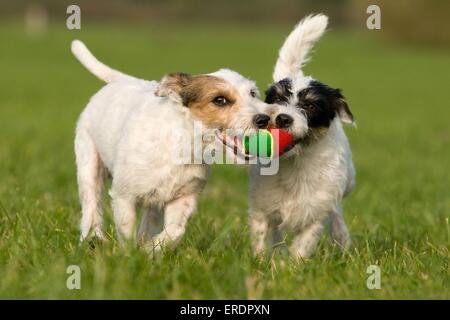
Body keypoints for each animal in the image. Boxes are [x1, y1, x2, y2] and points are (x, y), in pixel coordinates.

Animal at [72, 39, 270, 250]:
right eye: (220, 100)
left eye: (252, 93)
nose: (263, 119)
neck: (183, 146)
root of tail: (121, 82)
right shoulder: (124, 196)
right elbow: (126, 232)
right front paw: (129, 254)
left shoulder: (184, 198)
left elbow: (175, 231)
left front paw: (148, 249)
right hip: (88, 165)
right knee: (91, 202)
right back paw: (92, 237)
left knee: (150, 220)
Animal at [248, 15, 356, 258]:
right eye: (277, 99)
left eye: (311, 106)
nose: (282, 118)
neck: (296, 163)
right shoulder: (262, 209)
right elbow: (262, 239)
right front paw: (260, 262)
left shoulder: (314, 215)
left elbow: (302, 246)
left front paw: (292, 266)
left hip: (348, 183)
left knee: (337, 214)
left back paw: (342, 240)